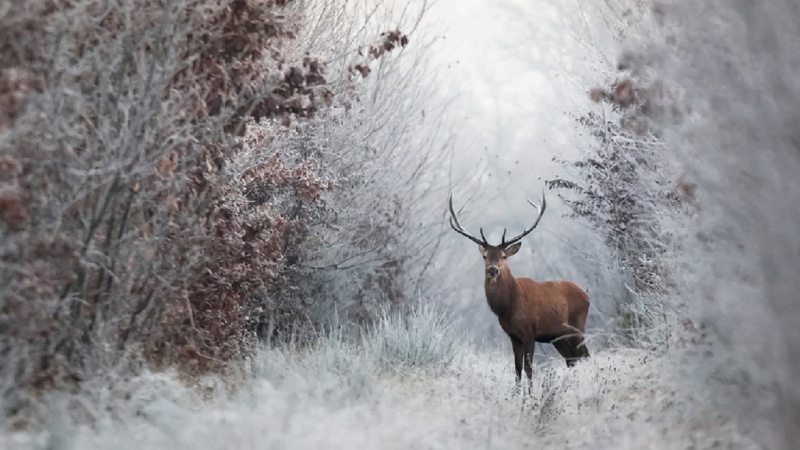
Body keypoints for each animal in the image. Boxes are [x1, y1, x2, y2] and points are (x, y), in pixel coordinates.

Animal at [448, 192, 590, 392]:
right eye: (485, 256)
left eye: (503, 256)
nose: (493, 270)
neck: (509, 306)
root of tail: (587, 294)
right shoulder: (513, 336)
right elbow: (516, 368)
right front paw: (516, 394)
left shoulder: (530, 331)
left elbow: (528, 368)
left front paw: (530, 395)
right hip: (558, 337)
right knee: (572, 360)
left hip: (578, 325)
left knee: (584, 355)